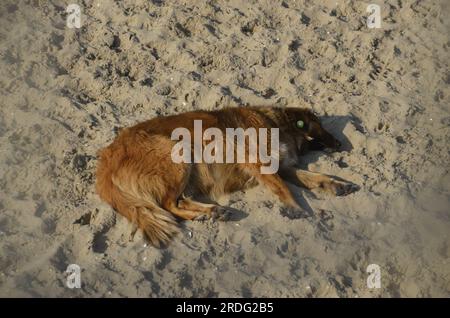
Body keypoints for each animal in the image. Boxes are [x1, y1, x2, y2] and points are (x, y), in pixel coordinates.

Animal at [96, 105, 356, 247]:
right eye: (322, 127)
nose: (340, 144)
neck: (277, 124)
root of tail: (107, 156)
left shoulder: (283, 167)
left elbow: (313, 176)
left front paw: (334, 184)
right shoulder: (261, 164)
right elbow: (284, 187)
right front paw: (296, 208)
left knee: (178, 201)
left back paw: (211, 212)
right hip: (177, 153)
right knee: (168, 203)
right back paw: (208, 213)